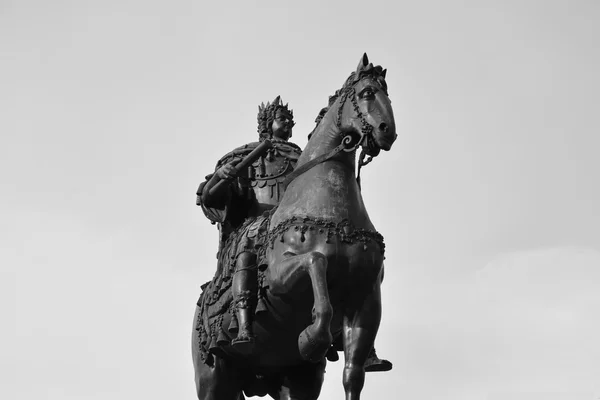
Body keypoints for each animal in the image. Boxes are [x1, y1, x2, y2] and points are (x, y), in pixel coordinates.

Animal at [193, 54, 398, 400]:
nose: (387, 132)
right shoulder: (280, 279)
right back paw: (246, 336)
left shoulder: (366, 299)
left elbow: (353, 375)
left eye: (388, 95)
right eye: (367, 93)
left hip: (294, 379)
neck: (336, 217)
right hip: (213, 378)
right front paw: (311, 339)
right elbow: (316, 263)